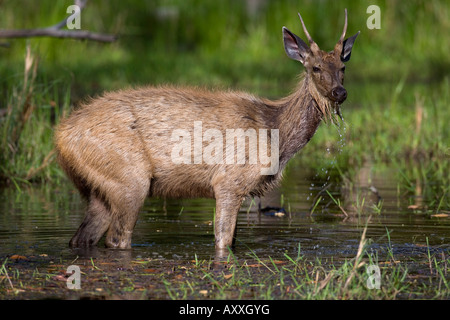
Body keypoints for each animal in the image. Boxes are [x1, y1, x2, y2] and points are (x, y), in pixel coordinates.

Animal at [55, 9, 358, 255]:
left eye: (343, 67)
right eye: (316, 67)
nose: (340, 93)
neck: (275, 133)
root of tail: (60, 137)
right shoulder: (228, 181)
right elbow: (223, 241)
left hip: (99, 187)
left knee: (81, 238)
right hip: (129, 179)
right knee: (117, 239)